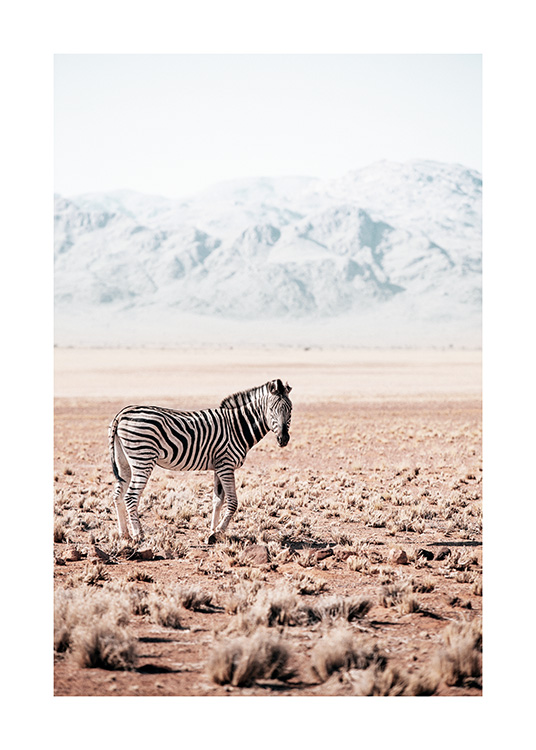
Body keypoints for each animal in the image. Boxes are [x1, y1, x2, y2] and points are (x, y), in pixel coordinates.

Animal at [108, 378, 292, 544]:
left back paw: (124, 534)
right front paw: (219, 531)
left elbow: (217, 500)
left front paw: (212, 532)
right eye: (271, 410)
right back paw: (138, 535)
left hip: (124, 462)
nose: (283, 439)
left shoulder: (219, 466)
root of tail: (123, 413)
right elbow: (233, 502)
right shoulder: (226, 465)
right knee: (131, 497)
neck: (237, 427)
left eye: (290, 410)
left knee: (118, 496)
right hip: (143, 458)